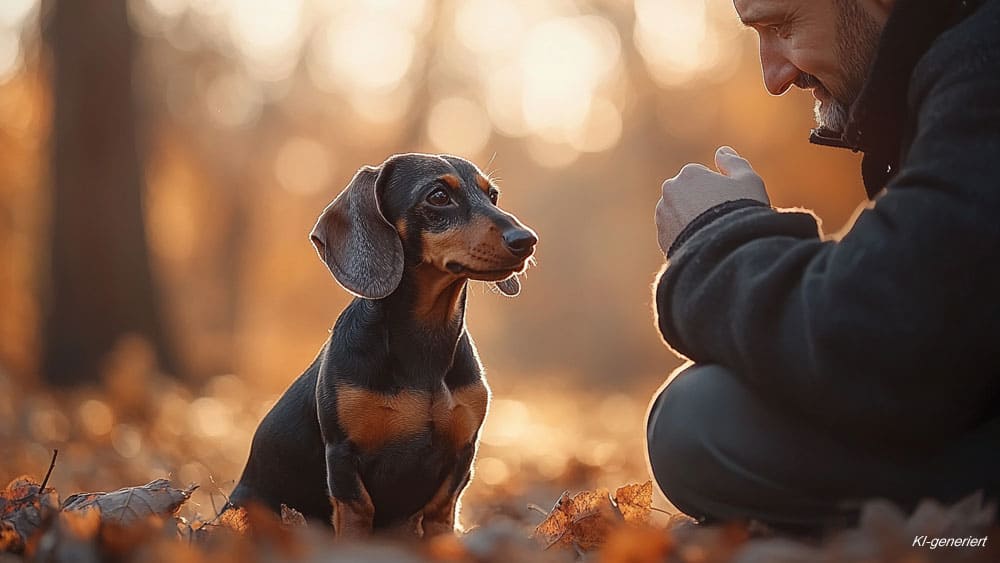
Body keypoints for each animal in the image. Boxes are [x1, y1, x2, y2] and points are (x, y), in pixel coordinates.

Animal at [228, 153, 540, 536]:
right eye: (438, 196)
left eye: (492, 195)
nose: (527, 240)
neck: (424, 343)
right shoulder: (342, 454)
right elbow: (358, 509)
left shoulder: (462, 453)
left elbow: (441, 511)